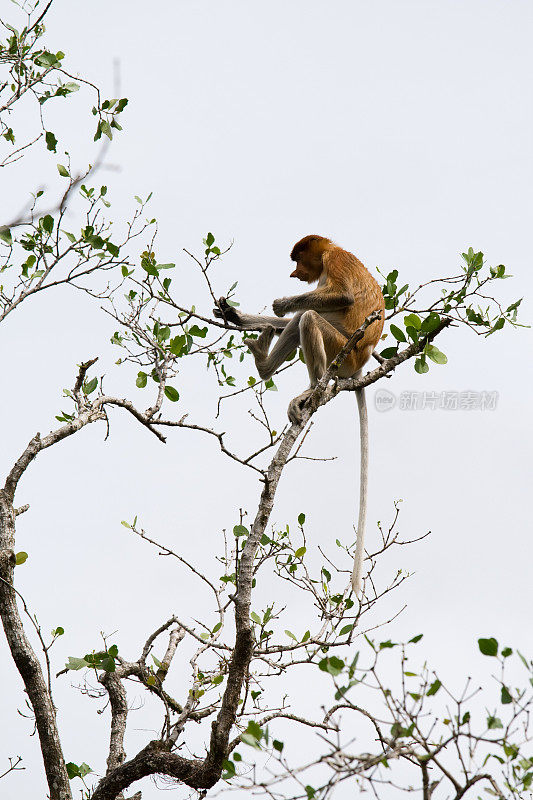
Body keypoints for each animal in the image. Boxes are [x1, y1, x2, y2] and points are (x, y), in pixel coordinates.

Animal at [214, 234, 384, 592]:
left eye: (297, 260)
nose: (294, 274)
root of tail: (359, 366)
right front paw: (236, 315)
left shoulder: (336, 259)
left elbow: (343, 296)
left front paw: (280, 303)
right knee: (302, 319)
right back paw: (264, 362)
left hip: (341, 349)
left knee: (308, 317)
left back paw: (308, 387)